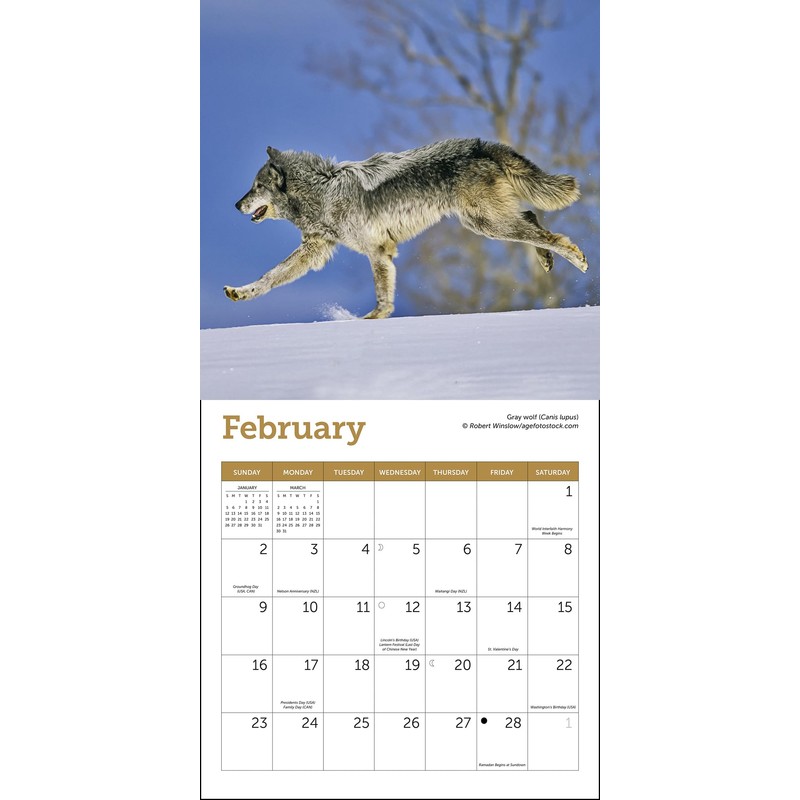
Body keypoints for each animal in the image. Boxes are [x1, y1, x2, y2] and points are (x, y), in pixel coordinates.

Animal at [225, 138, 588, 319]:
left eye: (256, 187)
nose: (236, 205)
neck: (322, 192)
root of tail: (479, 144)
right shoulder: (316, 250)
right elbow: (271, 277)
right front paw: (241, 292)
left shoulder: (378, 251)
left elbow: (383, 299)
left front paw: (369, 323)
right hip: (488, 222)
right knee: (531, 218)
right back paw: (546, 260)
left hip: (487, 224)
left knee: (549, 234)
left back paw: (576, 257)